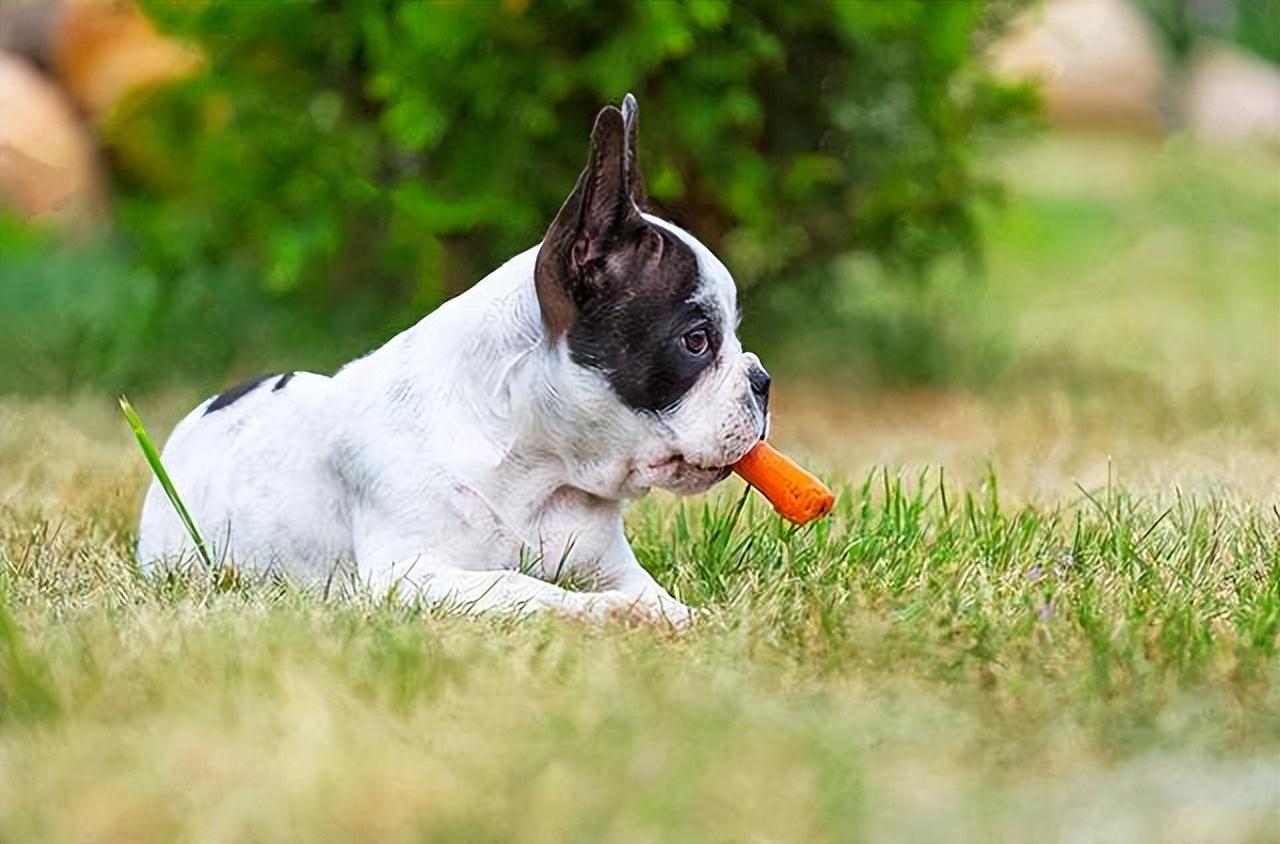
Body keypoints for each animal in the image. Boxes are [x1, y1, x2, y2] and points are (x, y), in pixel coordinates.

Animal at [137, 97, 768, 627]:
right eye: (696, 341)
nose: (763, 381)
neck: (538, 470)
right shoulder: (412, 575)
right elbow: (522, 587)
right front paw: (606, 613)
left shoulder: (614, 565)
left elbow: (654, 595)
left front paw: (676, 616)